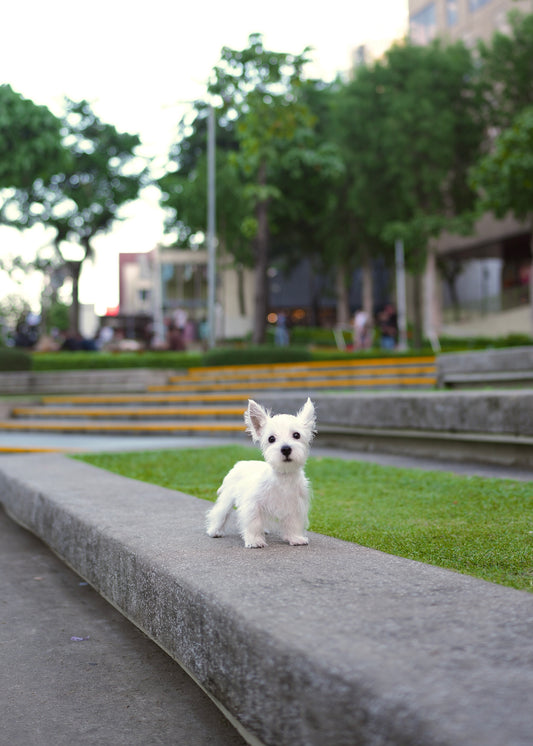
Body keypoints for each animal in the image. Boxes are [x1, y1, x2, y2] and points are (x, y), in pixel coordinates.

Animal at [206, 396, 316, 548]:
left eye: (296, 435)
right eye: (271, 438)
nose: (286, 449)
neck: (283, 476)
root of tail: (241, 463)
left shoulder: (295, 505)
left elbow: (293, 523)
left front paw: (295, 538)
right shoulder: (253, 505)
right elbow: (254, 523)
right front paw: (255, 540)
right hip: (227, 497)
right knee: (220, 513)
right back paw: (215, 530)